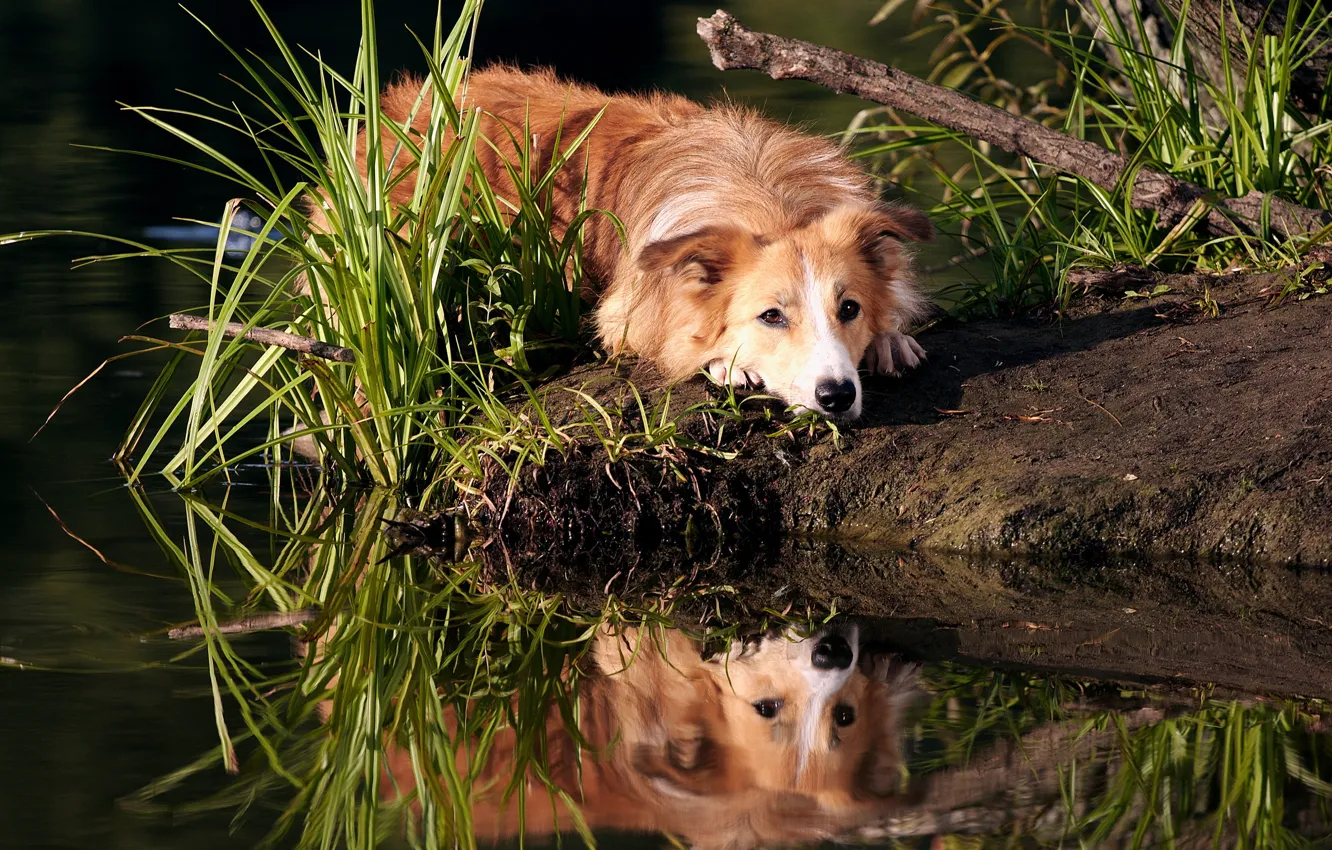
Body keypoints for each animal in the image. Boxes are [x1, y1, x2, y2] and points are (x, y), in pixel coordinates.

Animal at [314, 66, 937, 421]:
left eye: (849, 308)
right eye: (771, 317)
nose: (838, 396)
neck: (767, 197)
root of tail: (398, 109)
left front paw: (889, 338)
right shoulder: (624, 318)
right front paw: (726, 364)